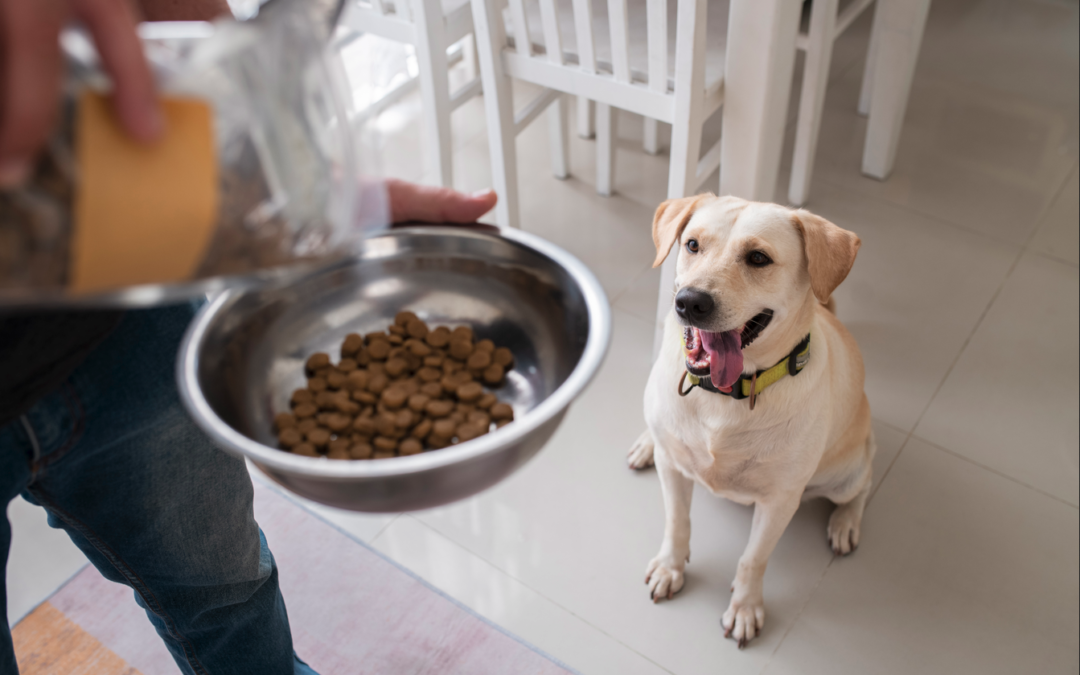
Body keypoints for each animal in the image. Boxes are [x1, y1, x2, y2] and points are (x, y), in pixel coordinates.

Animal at [630, 193, 872, 648]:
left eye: (758, 258)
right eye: (692, 244)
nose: (690, 302)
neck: (724, 397)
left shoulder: (780, 501)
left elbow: (753, 558)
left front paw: (745, 608)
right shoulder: (674, 470)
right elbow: (677, 522)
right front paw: (671, 567)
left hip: (845, 472)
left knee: (861, 487)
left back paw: (845, 522)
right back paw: (646, 442)